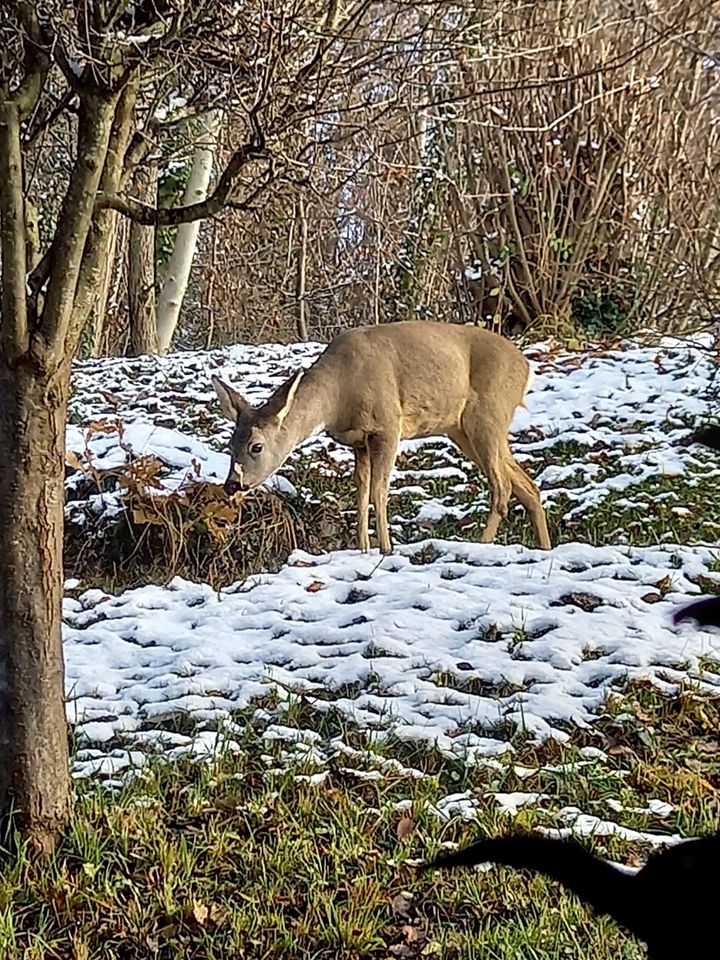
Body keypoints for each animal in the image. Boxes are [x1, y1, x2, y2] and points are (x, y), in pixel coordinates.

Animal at [212, 318, 552, 552]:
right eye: (230, 444)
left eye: (256, 446)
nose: (232, 484)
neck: (338, 396)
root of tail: (525, 366)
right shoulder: (358, 442)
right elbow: (361, 491)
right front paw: (362, 546)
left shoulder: (389, 424)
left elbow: (379, 490)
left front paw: (386, 548)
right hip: (461, 428)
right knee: (526, 485)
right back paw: (544, 546)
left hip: (488, 413)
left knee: (502, 486)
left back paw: (483, 544)